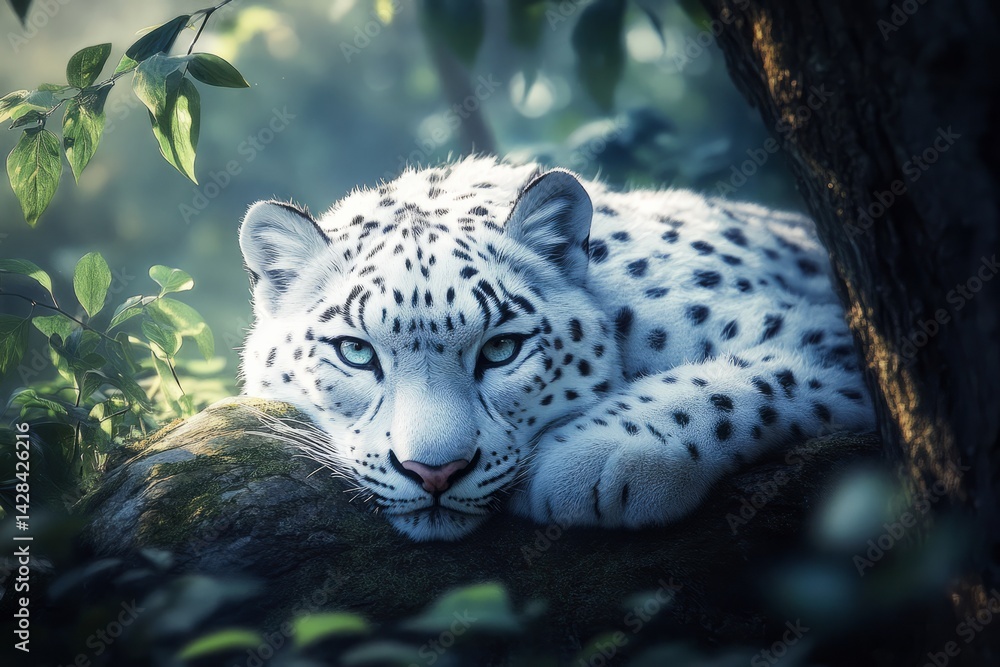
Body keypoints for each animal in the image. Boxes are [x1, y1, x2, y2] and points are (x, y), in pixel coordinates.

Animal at [238, 155, 875, 541]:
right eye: (356, 351)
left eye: (501, 349)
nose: (435, 473)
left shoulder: (829, 335)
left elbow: (748, 379)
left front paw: (588, 461)